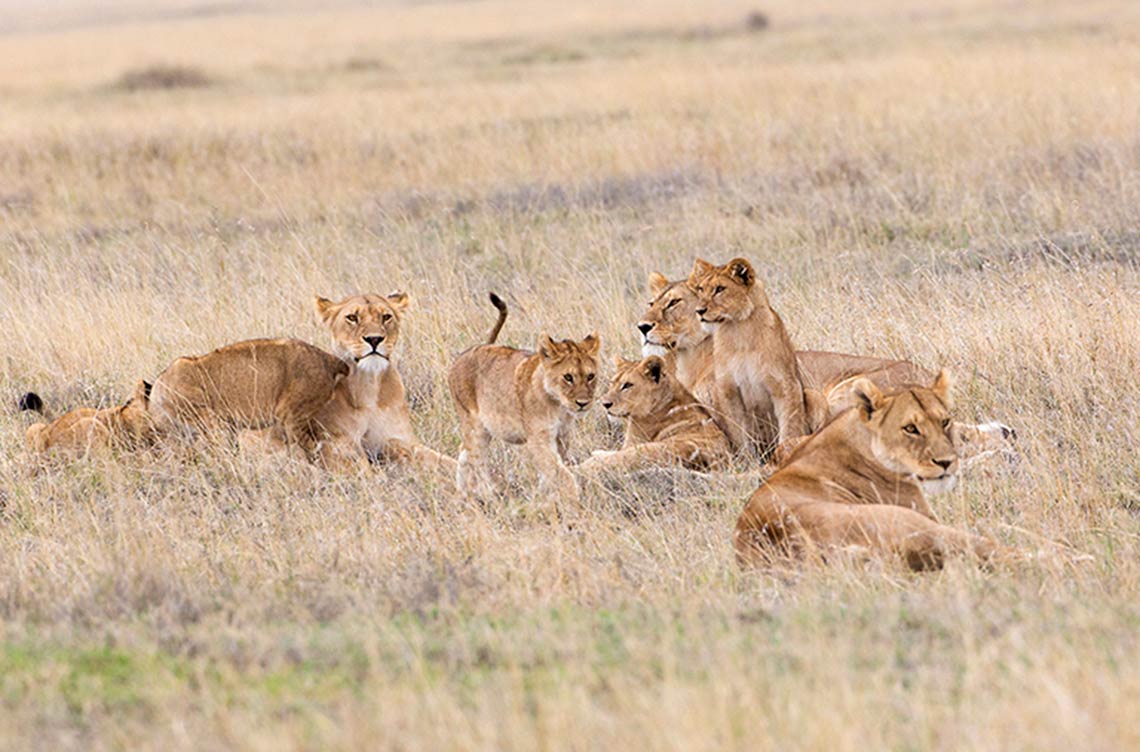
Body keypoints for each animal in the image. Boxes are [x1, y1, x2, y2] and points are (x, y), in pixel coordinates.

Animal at [449, 292, 600, 505]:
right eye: (568, 377)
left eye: (590, 376)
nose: (583, 403)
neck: (559, 405)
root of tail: (471, 350)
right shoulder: (538, 439)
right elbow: (562, 474)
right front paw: (574, 502)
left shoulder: (562, 437)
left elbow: (554, 472)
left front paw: (545, 497)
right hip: (474, 426)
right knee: (476, 461)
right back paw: (486, 497)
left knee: (464, 454)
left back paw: (462, 495)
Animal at [579, 354, 730, 476]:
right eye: (612, 383)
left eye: (627, 385)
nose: (605, 404)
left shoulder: (632, 443)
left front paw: (597, 453)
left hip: (643, 450)